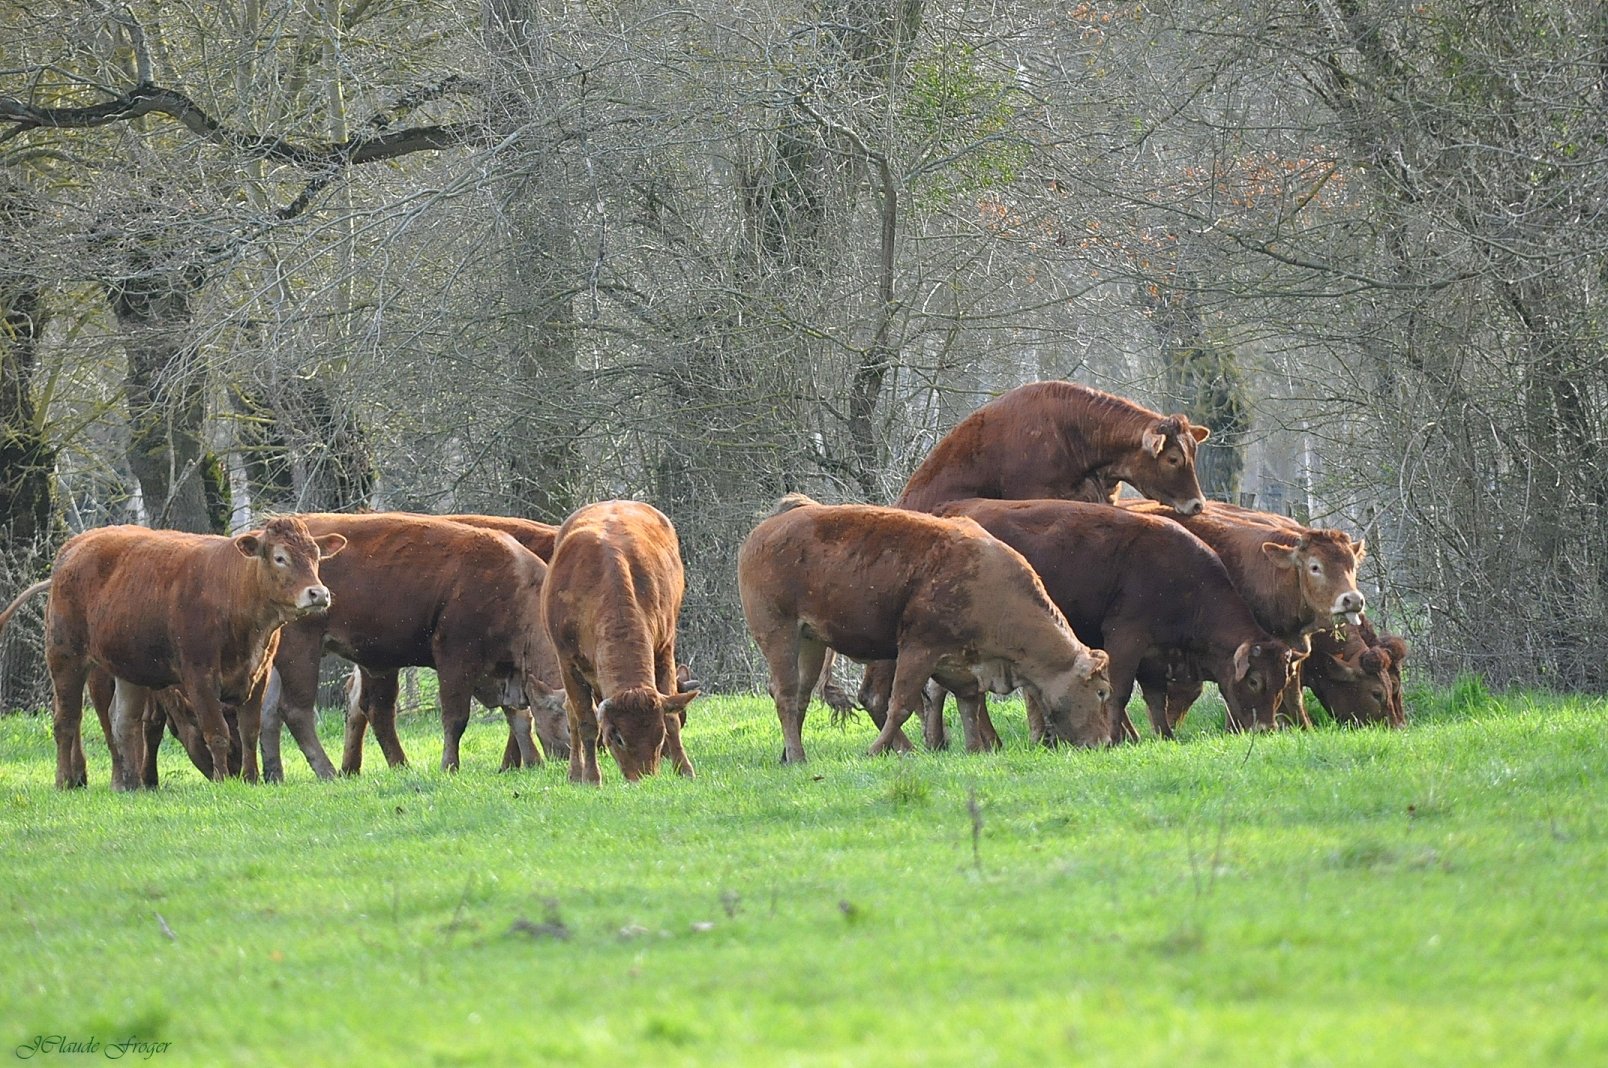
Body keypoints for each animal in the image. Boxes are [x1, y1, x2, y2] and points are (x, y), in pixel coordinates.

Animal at [0, 521, 342, 788]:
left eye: (316, 555)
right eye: (280, 557)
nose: (319, 593)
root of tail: (75, 546)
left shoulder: (259, 674)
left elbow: (248, 731)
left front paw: (251, 778)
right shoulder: (199, 676)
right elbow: (216, 732)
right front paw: (223, 780)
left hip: (128, 669)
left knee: (123, 723)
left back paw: (130, 784)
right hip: (66, 656)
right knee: (67, 720)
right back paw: (65, 780)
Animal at [262, 514, 559, 781]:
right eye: (559, 713)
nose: (564, 755)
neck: (514, 587)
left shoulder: (504, 672)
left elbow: (518, 717)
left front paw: (530, 762)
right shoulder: (454, 658)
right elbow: (456, 717)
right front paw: (450, 766)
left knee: (280, 708)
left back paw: (278, 773)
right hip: (302, 650)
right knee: (297, 710)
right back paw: (330, 771)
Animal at [540, 501, 697, 784]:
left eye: (658, 736)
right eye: (618, 736)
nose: (642, 777)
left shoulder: (664, 648)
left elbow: (672, 718)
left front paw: (685, 769)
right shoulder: (566, 660)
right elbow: (586, 721)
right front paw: (592, 778)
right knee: (571, 712)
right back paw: (575, 773)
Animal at [736, 495, 1106, 762]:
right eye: (1102, 691)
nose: (1102, 742)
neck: (995, 586)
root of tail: (770, 526)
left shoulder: (962, 662)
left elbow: (969, 702)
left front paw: (974, 749)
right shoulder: (919, 649)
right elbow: (901, 703)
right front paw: (875, 749)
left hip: (811, 641)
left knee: (801, 694)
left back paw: (790, 755)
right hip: (779, 632)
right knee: (785, 693)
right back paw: (800, 756)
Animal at [939, 501, 1299, 743]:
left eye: (1282, 683)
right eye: (1254, 681)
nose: (1266, 729)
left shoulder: (1155, 652)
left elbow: (1155, 697)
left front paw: (1164, 735)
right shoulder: (1126, 637)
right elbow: (1119, 692)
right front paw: (1115, 738)